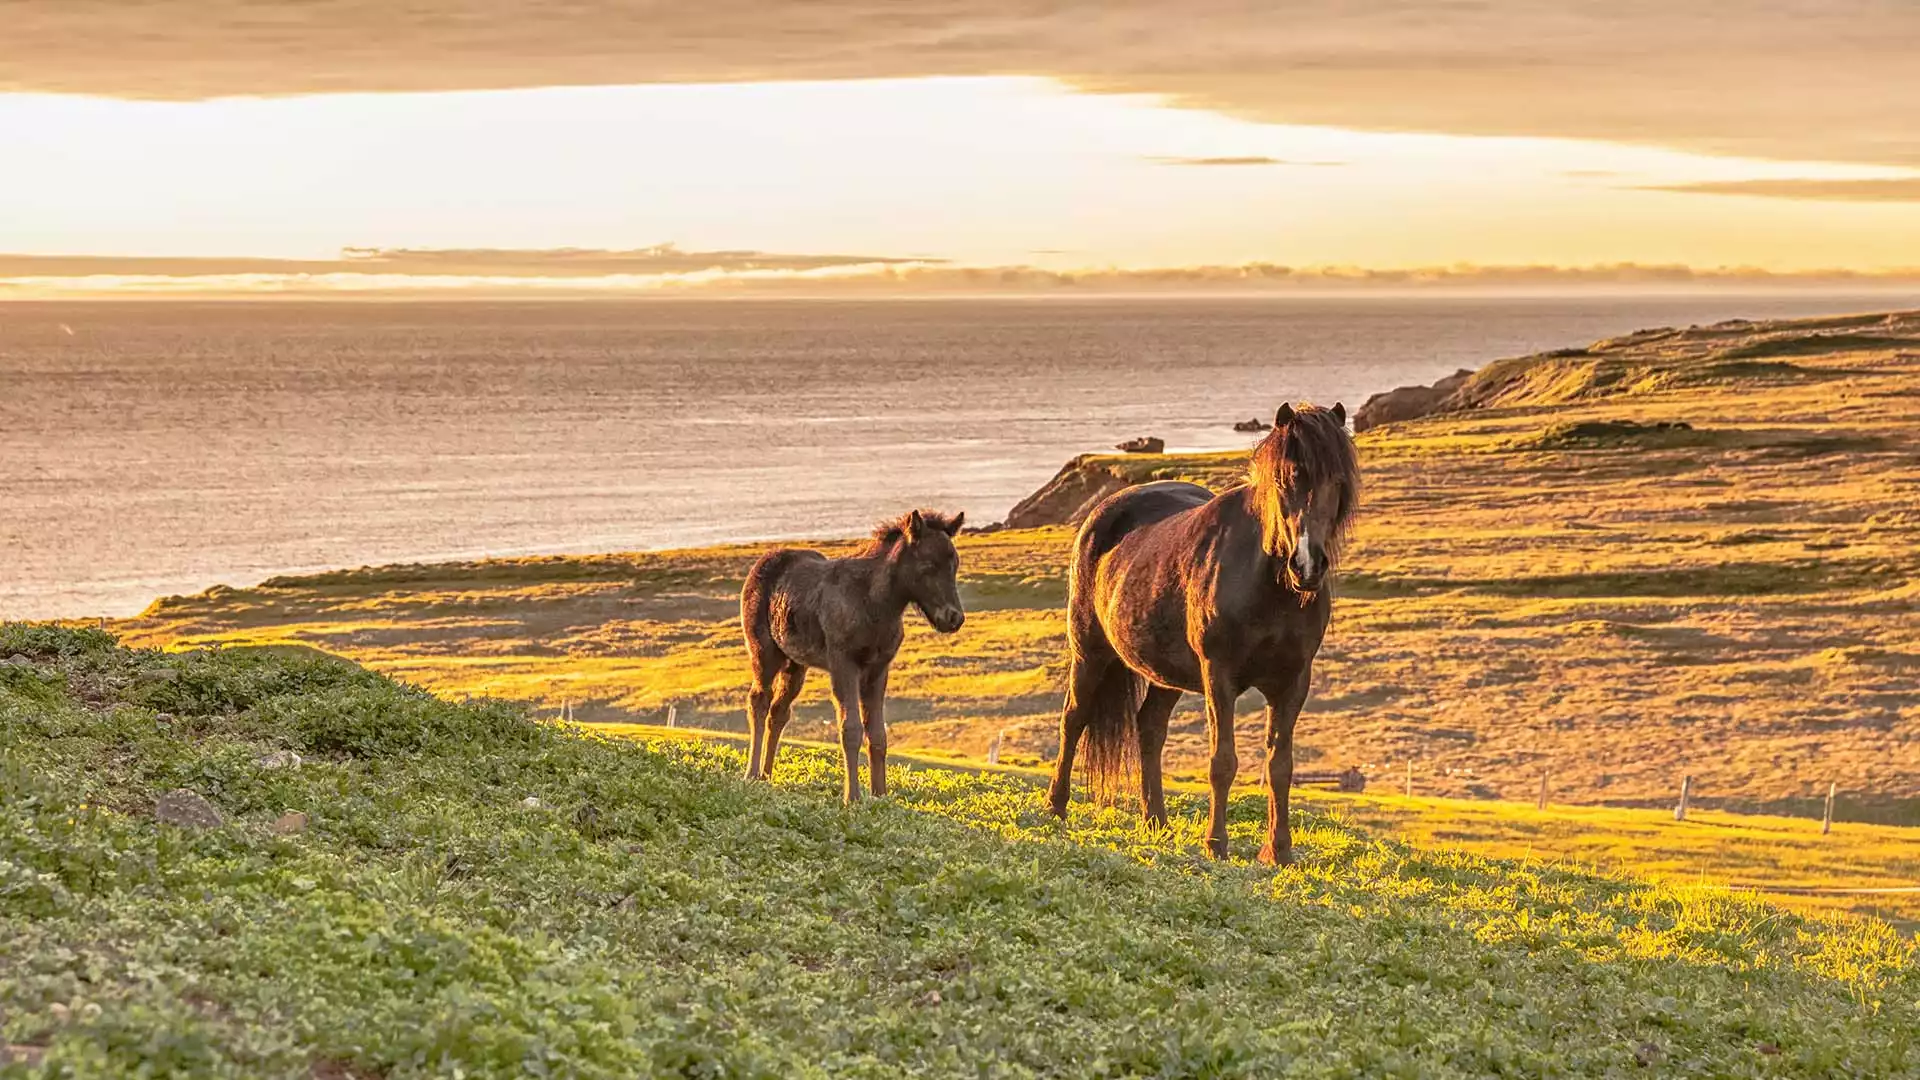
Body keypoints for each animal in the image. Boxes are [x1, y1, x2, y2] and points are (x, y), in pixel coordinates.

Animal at [741, 511, 967, 799]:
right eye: (927, 565)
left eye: (954, 565)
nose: (954, 618)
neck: (874, 604)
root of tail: (760, 564)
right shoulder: (843, 664)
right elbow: (851, 729)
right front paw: (853, 797)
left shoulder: (878, 669)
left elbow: (878, 734)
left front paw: (880, 795)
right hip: (764, 653)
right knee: (759, 701)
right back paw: (751, 774)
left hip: (795, 664)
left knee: (779, 711)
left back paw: (767, 775)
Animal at [1052, 399, 1351, 860]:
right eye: (1287, 478)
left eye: (1337, 480)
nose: (1307, 565)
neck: (1267, 585)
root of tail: (1104, 511)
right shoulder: (1219, 677)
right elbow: (1222, 762)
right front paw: (1216, 845)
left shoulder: (1293, 682)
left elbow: (1280, 766)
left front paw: (1279, 851)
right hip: (1089, 652)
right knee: (1074, 718)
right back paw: (1057, 808)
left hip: (1163, 673)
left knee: (1150, 728)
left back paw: (1155, 821)